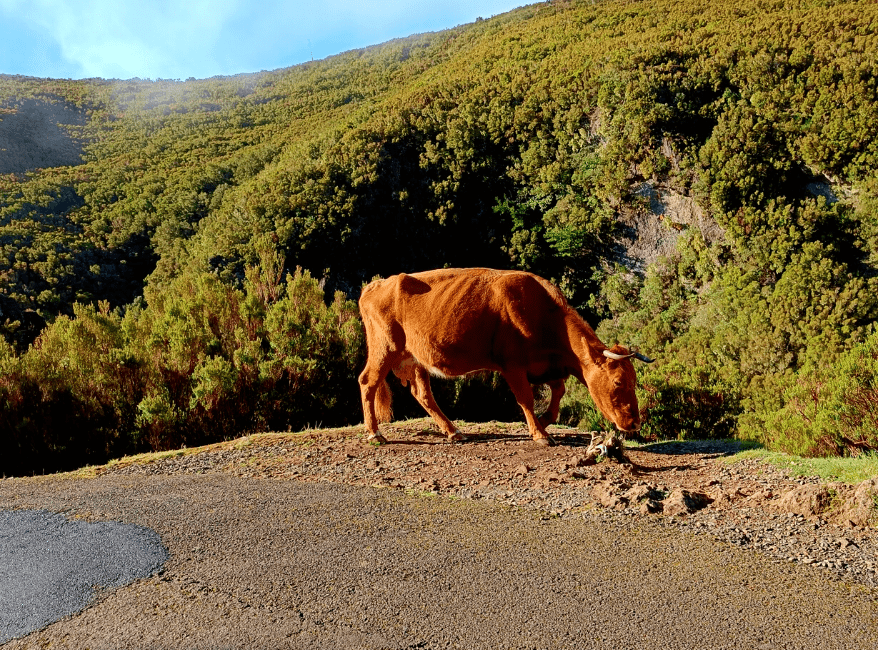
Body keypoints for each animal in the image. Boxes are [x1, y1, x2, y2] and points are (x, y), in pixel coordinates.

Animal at [358, 268, 652, 446]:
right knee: (368, 382)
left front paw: (545, 420)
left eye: (635, 381)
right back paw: (374, 433)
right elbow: (526, 399)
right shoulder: (513, 365)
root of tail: (377, 284)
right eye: (618, 382)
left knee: (422, 394)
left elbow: (558, 390)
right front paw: (540, 433)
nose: (635, 422)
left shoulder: (544, 364)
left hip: (416, 358)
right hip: (385, 348)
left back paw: (454, 431)